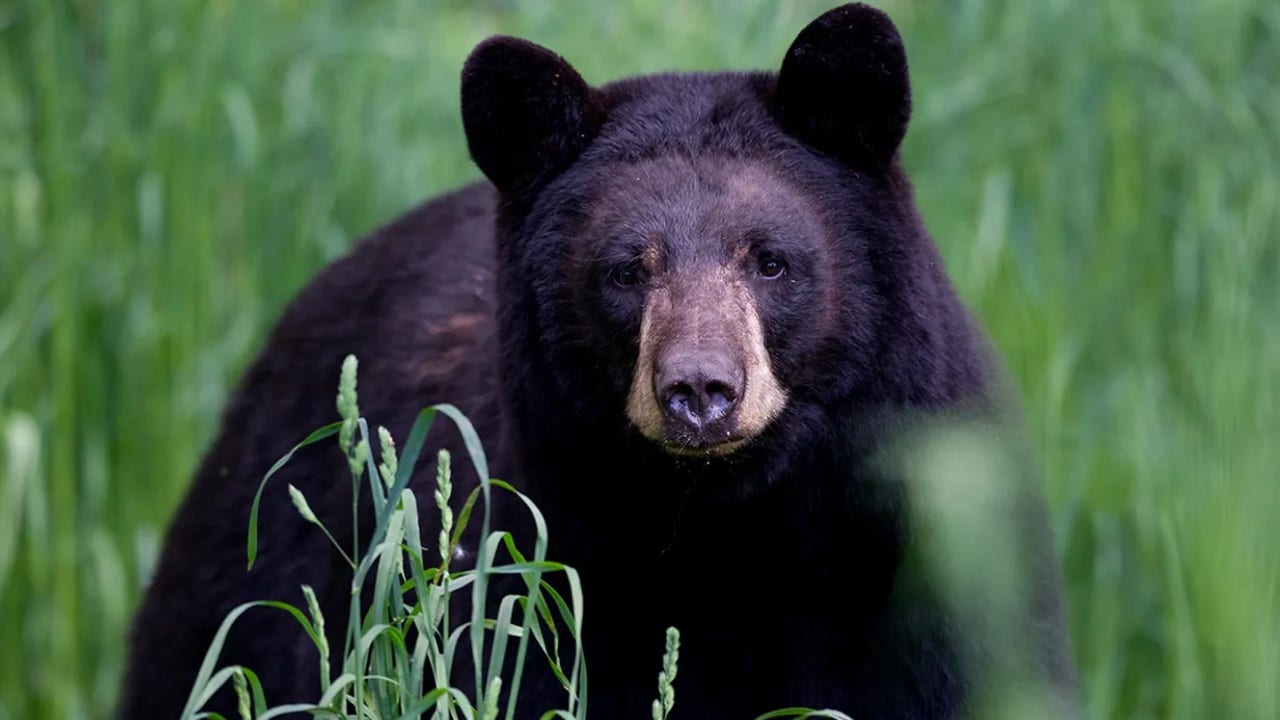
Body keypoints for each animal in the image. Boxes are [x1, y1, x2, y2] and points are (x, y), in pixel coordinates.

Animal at [119, 4, 1078, 719]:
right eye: (625, 269)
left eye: (770, 260)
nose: (700, 390)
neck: (732, 538)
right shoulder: (544, 579)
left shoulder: (930, 584)